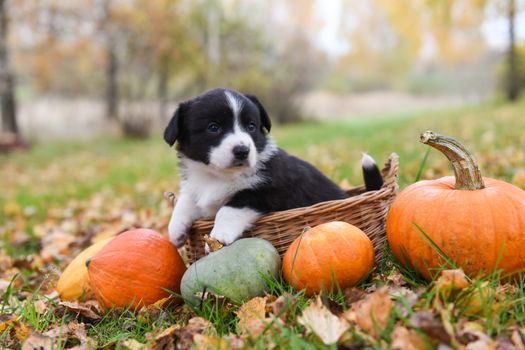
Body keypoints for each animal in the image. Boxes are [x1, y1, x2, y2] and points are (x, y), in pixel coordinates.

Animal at [164, 89, 380, 247]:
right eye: (213, 127)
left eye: (251, 126)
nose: (242, 150)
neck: (217, 176)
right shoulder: (197, 188)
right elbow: (185, 202)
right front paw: (175, 232)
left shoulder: (269, 190)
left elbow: (231, 205)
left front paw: (219, 235)